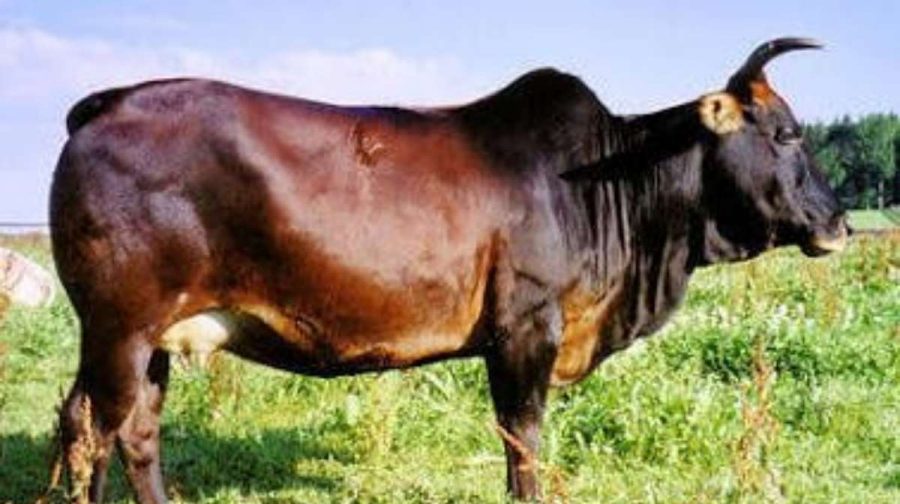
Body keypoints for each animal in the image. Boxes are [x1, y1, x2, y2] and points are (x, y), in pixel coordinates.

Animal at [50, 37, 847, 502]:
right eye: (786, 133)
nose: (839, 223)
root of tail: (107, 103)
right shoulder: (526, 330)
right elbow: (523, 442)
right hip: (119, 326)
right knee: (91, 431)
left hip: (146, 337)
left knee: (134, 433)